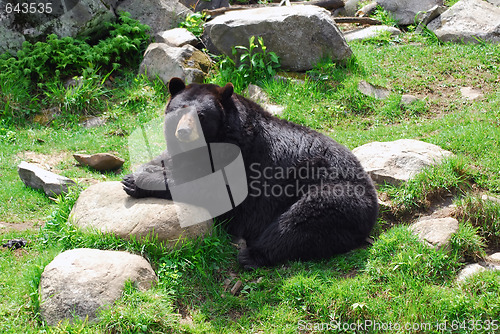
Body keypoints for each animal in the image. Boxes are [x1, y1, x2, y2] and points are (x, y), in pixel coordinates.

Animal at [123, 77, 376, 268]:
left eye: (201, 116)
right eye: (177, 112)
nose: (183, 132)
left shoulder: (242, 160)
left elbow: (210, 189)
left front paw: (136, 180)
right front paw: (143, 170)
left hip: (336, 195)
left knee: (298, 223)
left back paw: (251, 254)